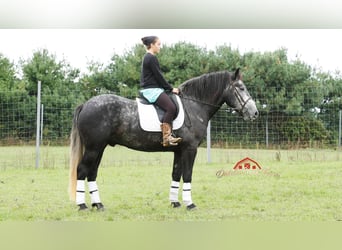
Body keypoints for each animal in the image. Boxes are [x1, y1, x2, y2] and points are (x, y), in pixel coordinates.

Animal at [68, 68, 258, 211]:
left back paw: (98, 204)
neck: (194, 105)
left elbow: (176, 174)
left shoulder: (178, 150)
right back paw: (82, 205)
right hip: (93, 148)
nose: (255, 113)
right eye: (241, 88)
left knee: (92, 173)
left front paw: (175, 202)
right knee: (82, 170)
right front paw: (190, 204)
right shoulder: (190, 149)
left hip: (100, 148)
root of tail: (85, 104)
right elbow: (187, 175)